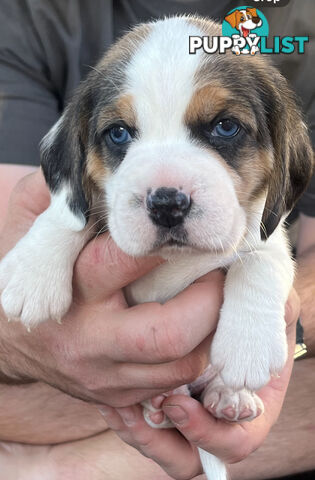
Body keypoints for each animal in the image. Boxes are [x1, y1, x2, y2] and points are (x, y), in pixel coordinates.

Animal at [0, 15, 314, 480]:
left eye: (225, 126)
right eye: (118, 133)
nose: (167, 203)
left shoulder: (268, 231)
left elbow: (260, 262)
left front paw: (248, 345)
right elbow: (67, 211)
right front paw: (32, 273)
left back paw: (229, 397)